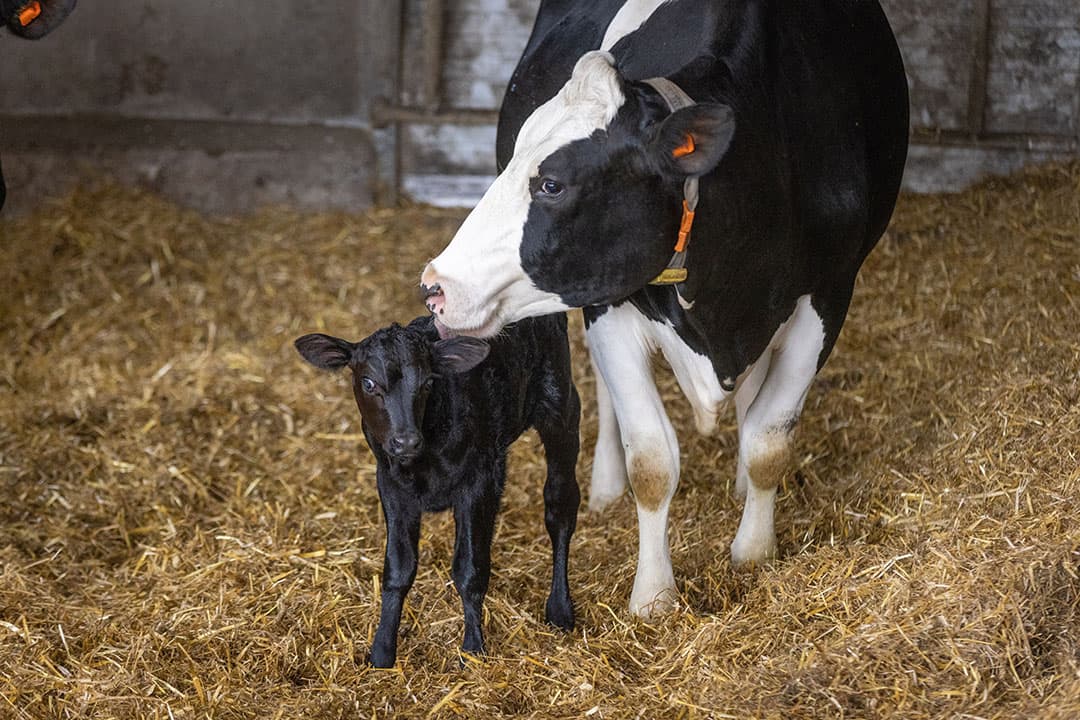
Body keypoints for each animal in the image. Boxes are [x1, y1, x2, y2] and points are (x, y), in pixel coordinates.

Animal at [419, 0, 909, 618]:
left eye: (552, 184)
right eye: (513, 158)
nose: (436, 286)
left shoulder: (828, 294)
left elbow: (768, 441)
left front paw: (754, 553)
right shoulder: (609, 301)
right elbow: (651, 461)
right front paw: (653, 596)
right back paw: (605, 486)